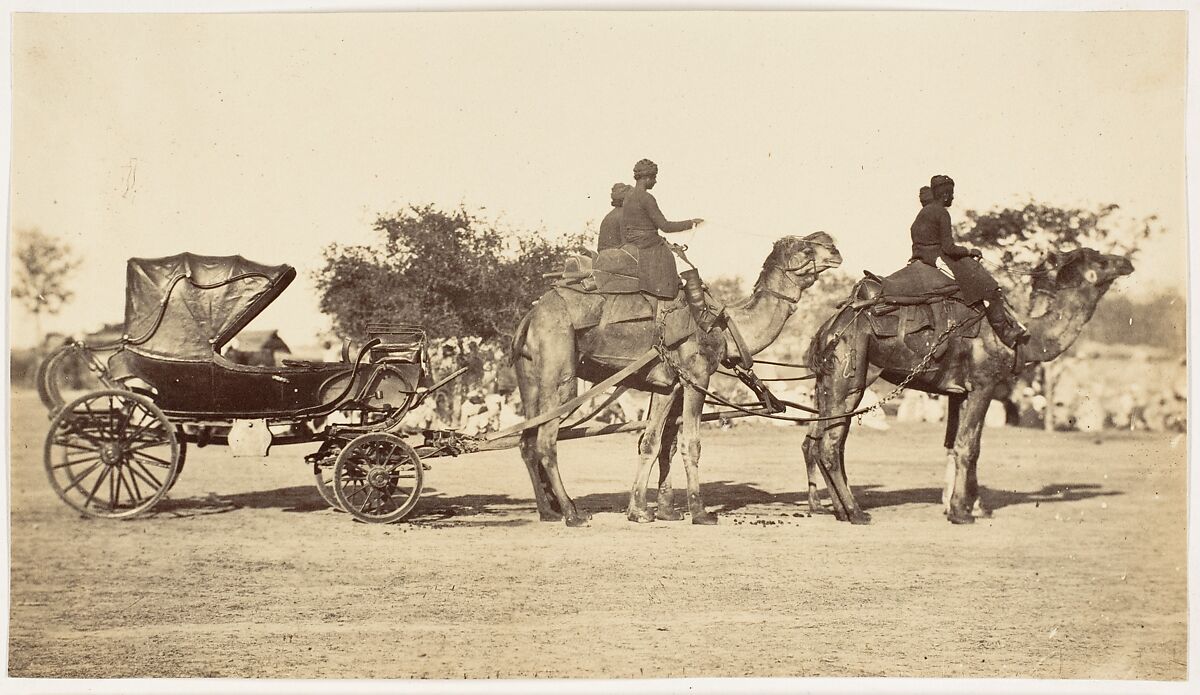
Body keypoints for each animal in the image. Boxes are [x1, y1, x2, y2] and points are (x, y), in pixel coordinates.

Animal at [511, 231, 840, 525]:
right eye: (804, 248)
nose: (834, 247)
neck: (726, 328)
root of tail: (530, 318)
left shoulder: (667, 386)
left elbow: (653, 443)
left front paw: (647, 511)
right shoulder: (697, 377)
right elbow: (690, 443)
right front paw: (699, 512)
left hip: (530, 378)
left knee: (527, 441)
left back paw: (548, 512)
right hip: (560, 372)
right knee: (546, 441)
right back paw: (572, 513)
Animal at [806, 247, 1132, 525]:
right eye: (1100, 259)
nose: (1127, 262)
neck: (1025, 335)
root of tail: (828, 328)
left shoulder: (958, 391)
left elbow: (955, 445)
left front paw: (966, 505)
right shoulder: (983, 384)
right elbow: (969, 446)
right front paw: (962, 512)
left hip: (827, 383)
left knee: (820, 440)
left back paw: (840, 510)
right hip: (850, 379)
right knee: (830, 444)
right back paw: (855, 512)